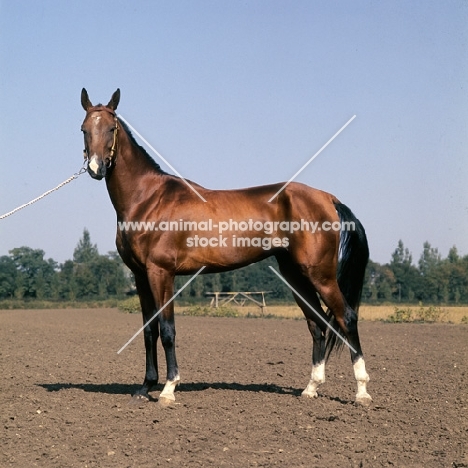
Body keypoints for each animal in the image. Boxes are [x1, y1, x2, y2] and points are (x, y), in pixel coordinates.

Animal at [81, 88, 372, 406]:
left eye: (112, 128)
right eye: (84, 129)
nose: (96, 168)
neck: (148, 199)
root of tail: (328, 198)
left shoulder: (161, 273)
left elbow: (168, 330)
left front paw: (169, 389)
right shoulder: (140, 276)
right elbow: (149, 331)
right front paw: (145, 387)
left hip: (320, 275)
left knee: (346, 318)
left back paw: (362, 391)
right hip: (295, 275)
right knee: (317, 323)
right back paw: (311, 388)